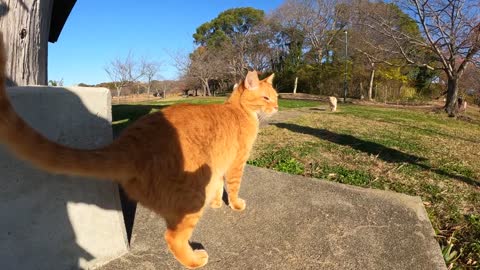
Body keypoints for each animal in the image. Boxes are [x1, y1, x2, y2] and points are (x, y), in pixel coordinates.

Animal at [0, 34, 278, 268]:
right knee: (172, 237)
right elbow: (233, 187)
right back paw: (194, 259)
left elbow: (219, 185)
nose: (276, 107)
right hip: (191, 196)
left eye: (275, 96)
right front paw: (236, 205)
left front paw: (218, 203)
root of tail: (130, 141)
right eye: (266, 98)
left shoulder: (221, 163)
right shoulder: (237, 162)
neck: (238, 110)